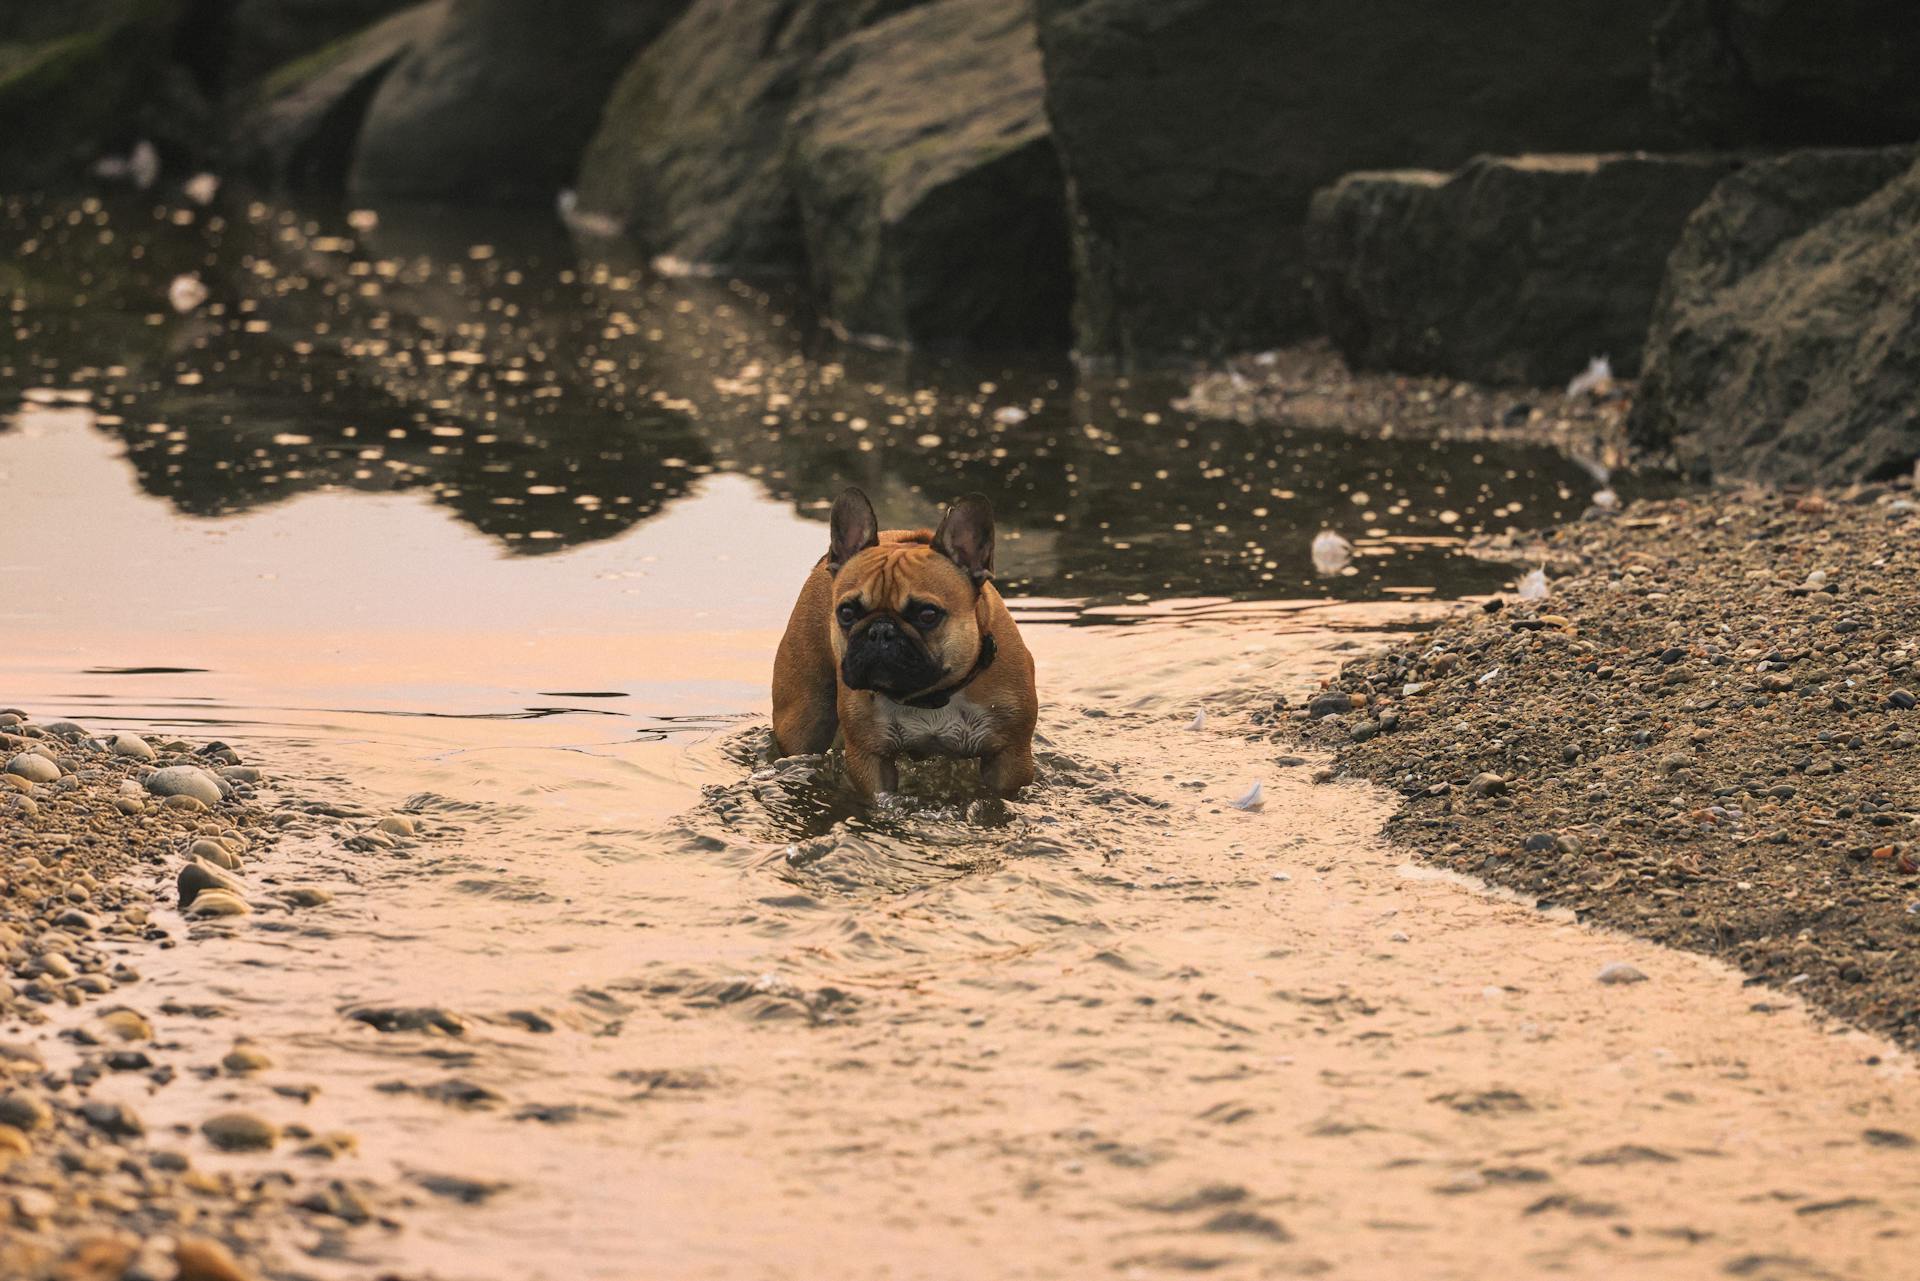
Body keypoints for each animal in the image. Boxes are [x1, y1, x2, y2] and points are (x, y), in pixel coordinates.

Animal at [768, 487, 1036, 795]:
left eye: (928, 614)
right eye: (846, 612)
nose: (880, 631)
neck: (930, 696)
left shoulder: (1010, 757)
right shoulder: (870, 757)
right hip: (804, 717)